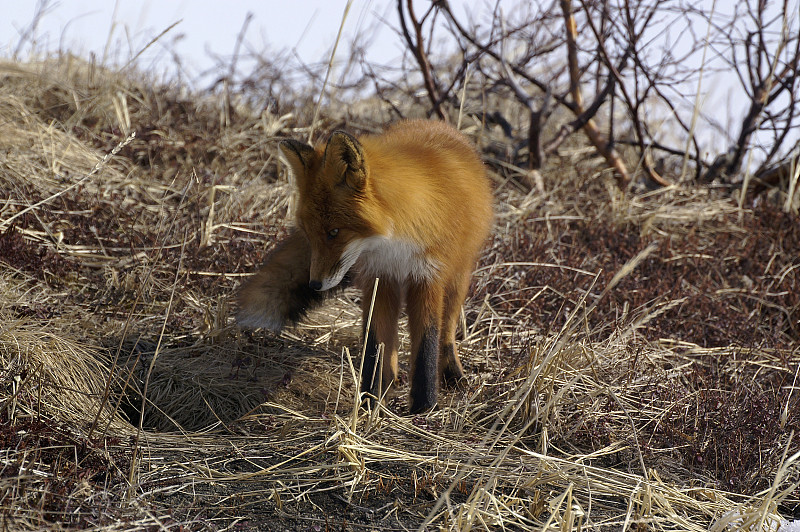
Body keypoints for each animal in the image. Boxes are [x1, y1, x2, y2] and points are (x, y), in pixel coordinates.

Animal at [234, 120, 490, 416]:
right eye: (309, 234)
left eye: (334, 232)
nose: (315, 284)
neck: (393, 242)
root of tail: (437, 124)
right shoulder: (380, 277)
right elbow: (374, 344)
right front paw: (370, 401)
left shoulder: (427, 276)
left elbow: (427, 343)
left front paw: (424, 407)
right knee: (391, 344)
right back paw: (391, 381)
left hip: (458, 276)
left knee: (447, 330)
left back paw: (452, 374)